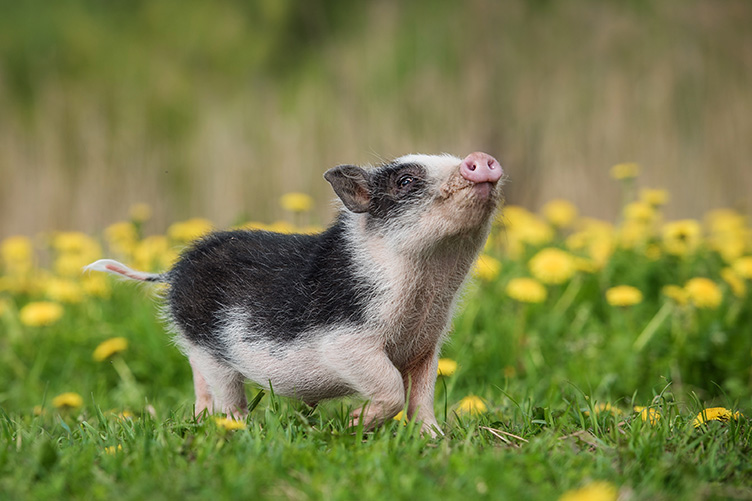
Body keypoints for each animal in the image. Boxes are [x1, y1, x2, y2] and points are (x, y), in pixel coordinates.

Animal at [85, 152, 504, 436]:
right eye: (404, 182)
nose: (480, 159)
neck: (429, 286)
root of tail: (174, 271)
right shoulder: (346, 341)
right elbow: (391, 387)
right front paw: (354, 424)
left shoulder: (426, 345)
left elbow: (422, 396)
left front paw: (435, 439)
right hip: (206, 343)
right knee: (226, 393)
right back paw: (238, 429)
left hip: (197, 349)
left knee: (201, 384)